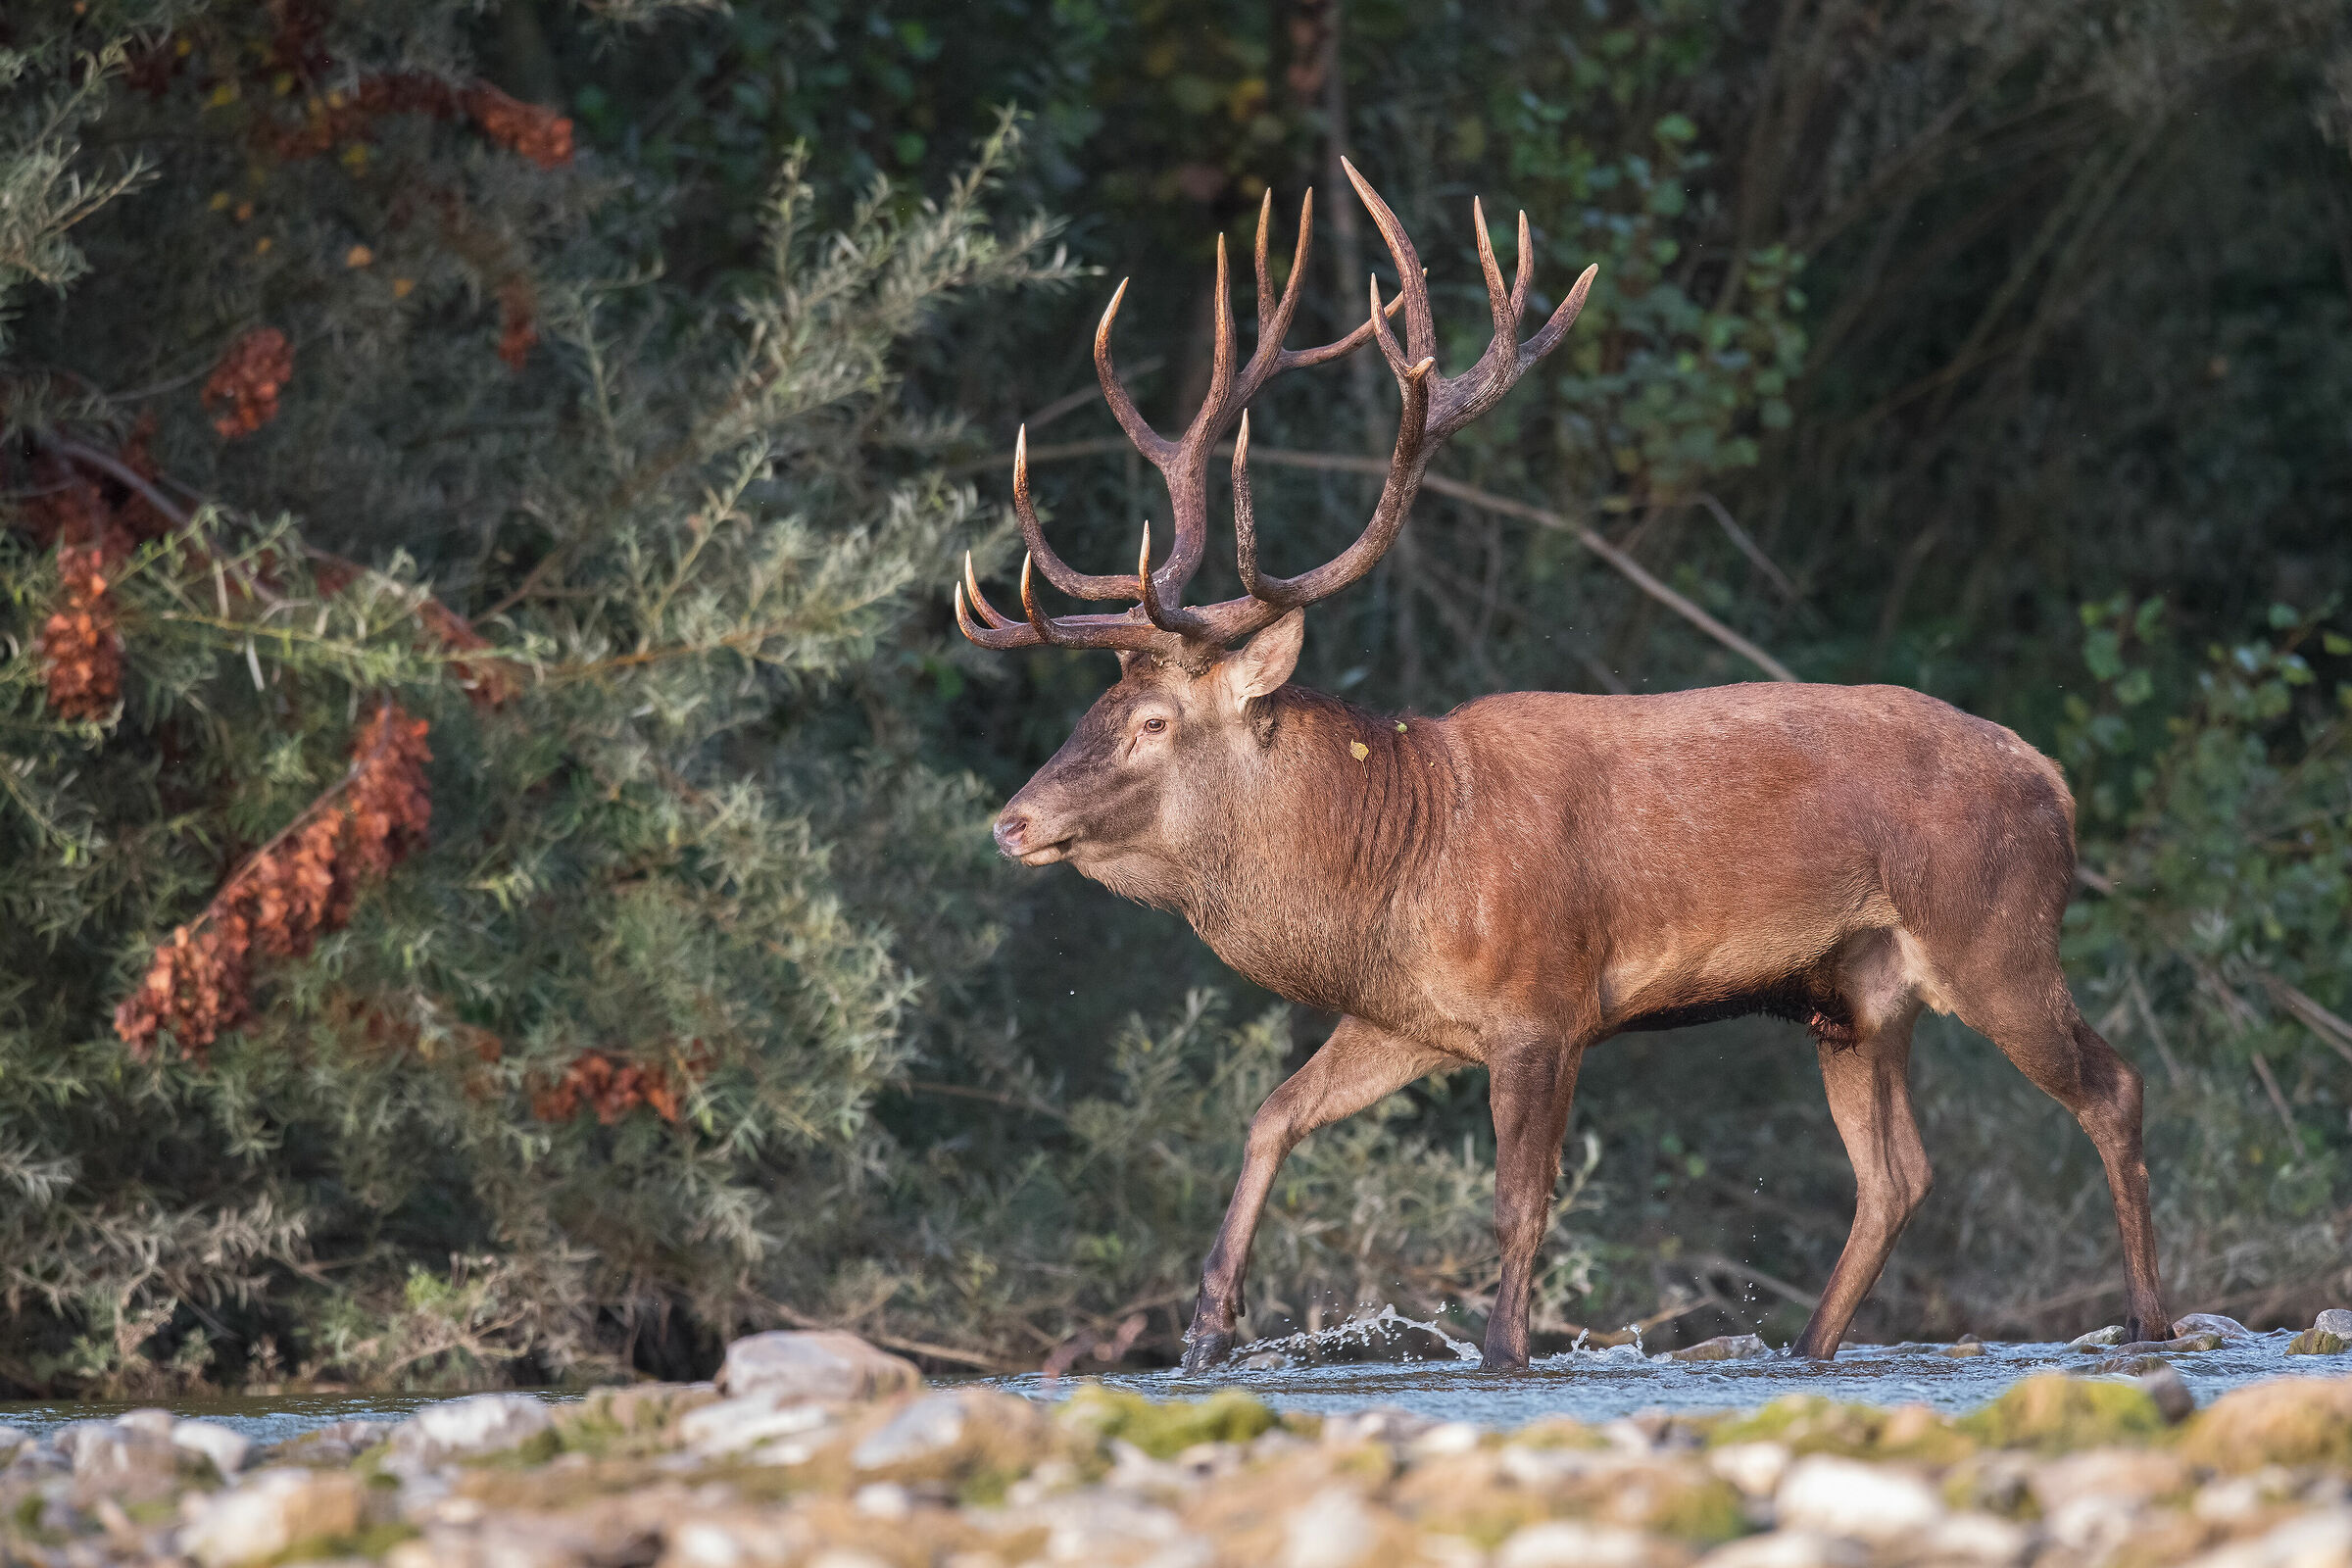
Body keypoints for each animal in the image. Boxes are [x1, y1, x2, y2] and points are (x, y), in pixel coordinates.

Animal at [955, 163, 2170, 1372]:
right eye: (1099, 705)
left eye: (1154, 721)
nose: (1011, 822)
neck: (1396, 862)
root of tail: (2055, 781)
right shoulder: (1407, 1016)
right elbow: (1274, 1110)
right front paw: (1208, 1323)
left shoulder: (1545, 1006)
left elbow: (1519, 1200)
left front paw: (1504, 1348)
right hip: (1855, 996)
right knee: (1897, 1174)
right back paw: (1807, 1345)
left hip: (1993, 934)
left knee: (2112, 1086)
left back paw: (2151, 1318)